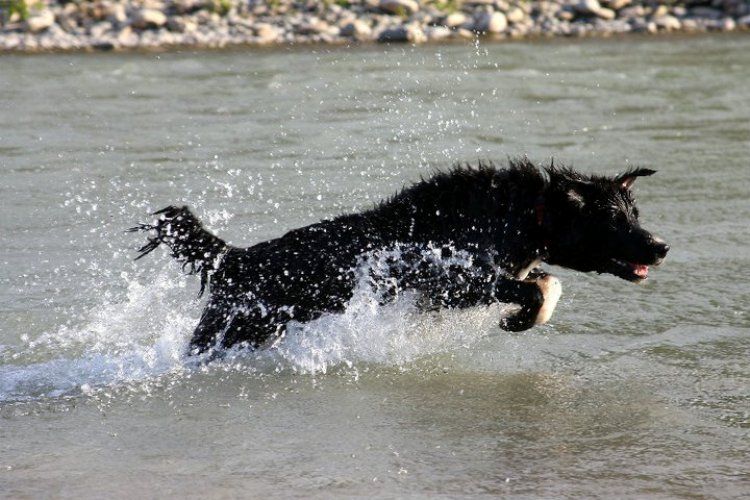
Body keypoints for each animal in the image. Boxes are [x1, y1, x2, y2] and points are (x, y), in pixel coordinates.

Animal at [129, 158, 668, 354]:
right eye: (614, 222)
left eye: (635, 214)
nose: (661, 247)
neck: (523, 214)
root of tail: (236, 258)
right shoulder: (453, 280)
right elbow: (537, 288)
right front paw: (520, 317)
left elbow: (545, 282)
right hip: (231, 329)